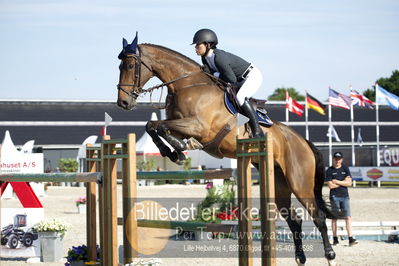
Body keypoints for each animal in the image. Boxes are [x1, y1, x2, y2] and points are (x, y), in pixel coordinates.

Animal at [117, 38, 340, 266]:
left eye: (130, 66)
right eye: (120, 66)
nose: (123, 103)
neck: (185, 85)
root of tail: (303, 141)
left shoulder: (198, 126)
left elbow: (159, 126)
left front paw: (179, 149)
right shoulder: (180, 124)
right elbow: (152, 125)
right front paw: (173, 152)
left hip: (299, 182)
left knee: (318, 216)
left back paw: (330, 254)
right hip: (280, 184)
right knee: (294, 219)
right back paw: (300, 257)